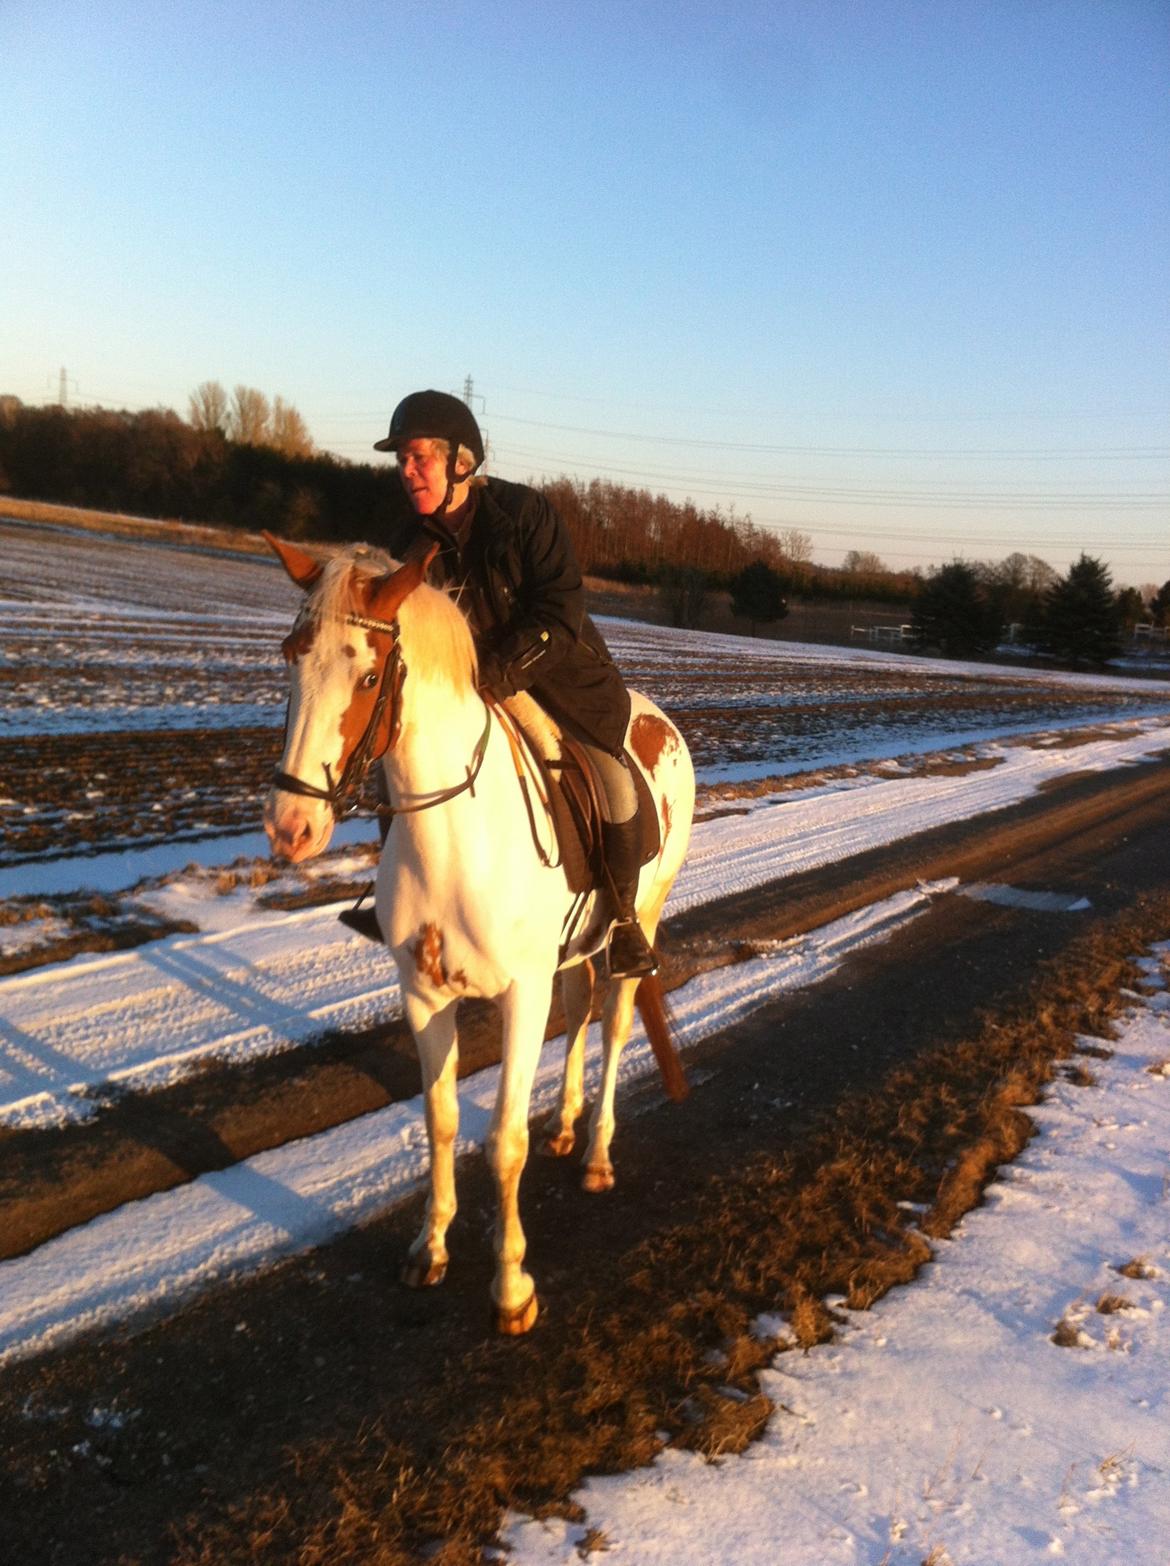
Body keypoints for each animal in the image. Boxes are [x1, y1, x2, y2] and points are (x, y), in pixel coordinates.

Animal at [263, 535, 695, 1334]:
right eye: (290, 659)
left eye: (369, 674)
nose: (291, 828)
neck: (454, 840)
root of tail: (658, 719)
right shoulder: (424, 993)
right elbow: (441, 1119)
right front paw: (429, 1248)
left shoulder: (519, 996)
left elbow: (503, 1141)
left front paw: (511, 1284)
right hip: (571, 952)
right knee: (580, 1009)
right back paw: (566, 1121)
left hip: (641, 921)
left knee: (615, 1023)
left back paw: (596, 1153)